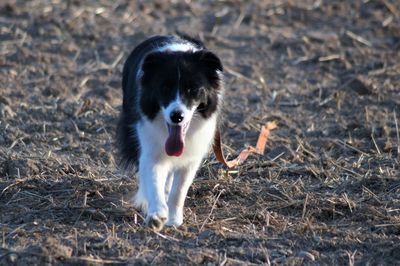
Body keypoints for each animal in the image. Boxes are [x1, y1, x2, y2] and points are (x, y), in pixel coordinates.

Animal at [116, 35, 225, 231]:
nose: (177, 116)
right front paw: (156, 215)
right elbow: (153, 180)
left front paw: (173, 219)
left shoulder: (191, 159)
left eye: (192, 89)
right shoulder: (149, 146)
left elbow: (179, 190)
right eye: (164, 88)